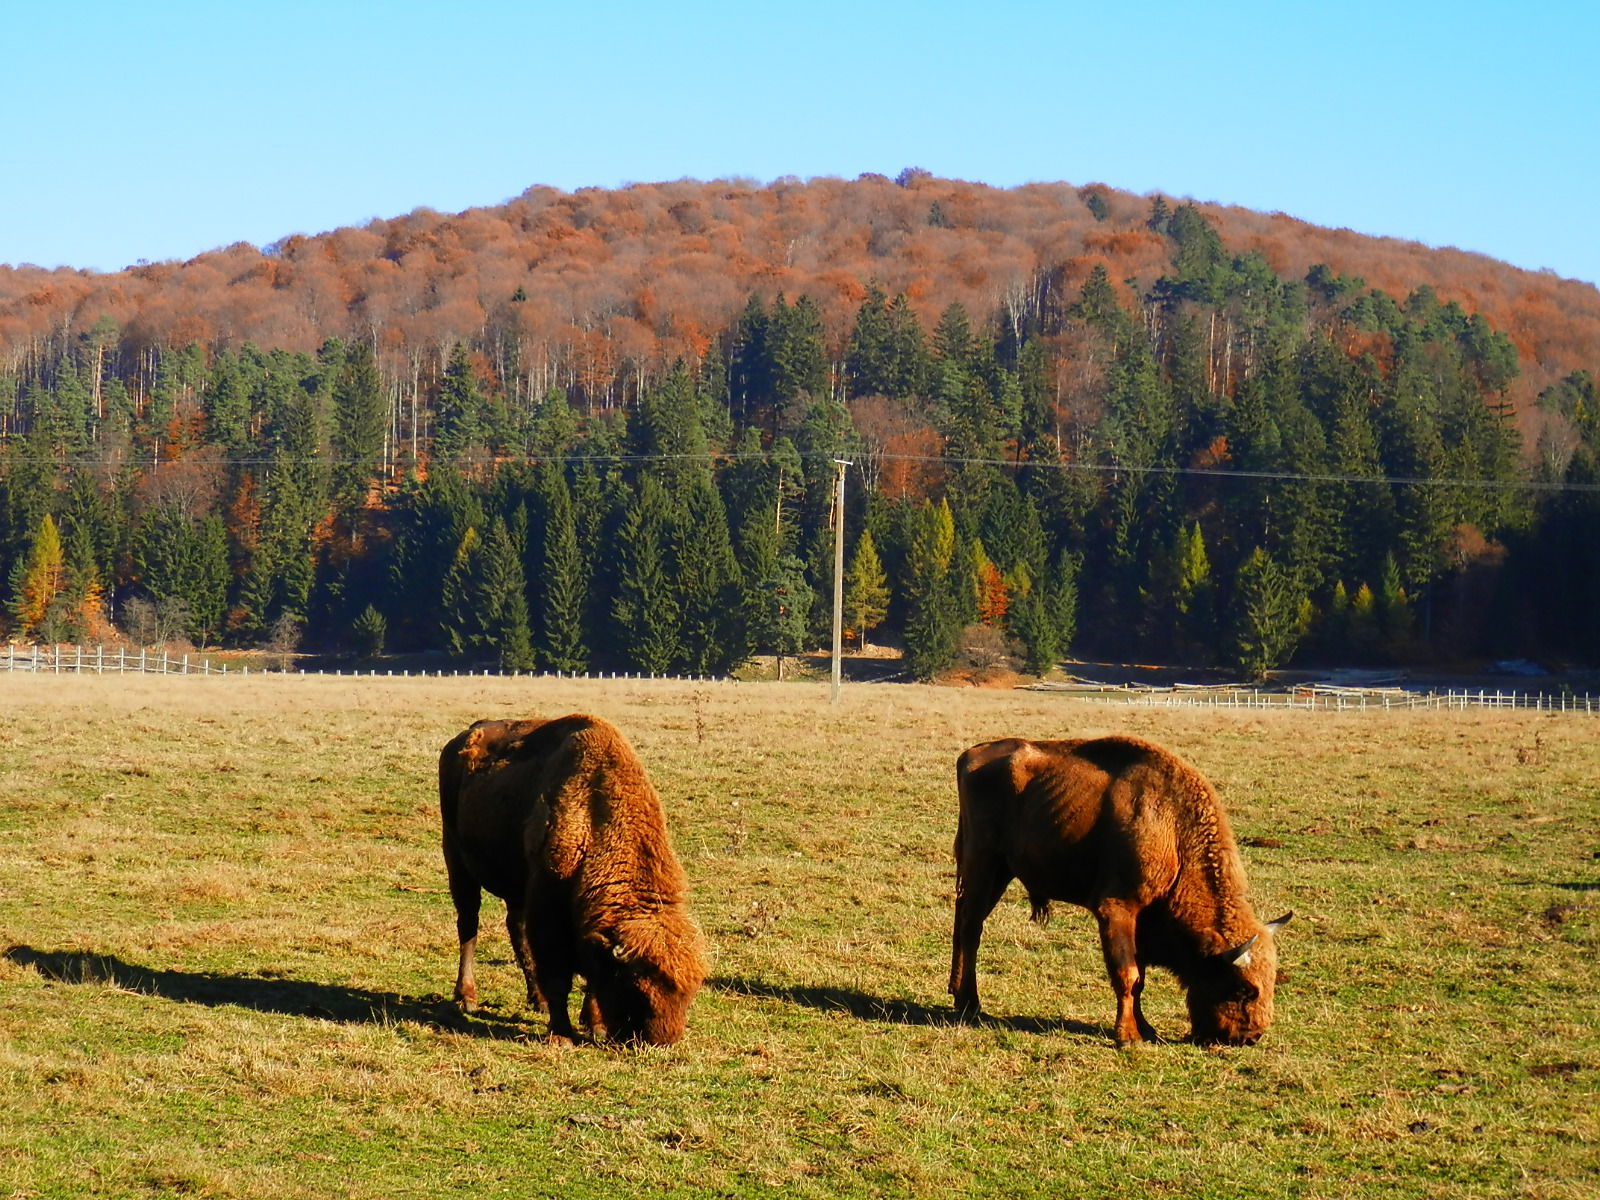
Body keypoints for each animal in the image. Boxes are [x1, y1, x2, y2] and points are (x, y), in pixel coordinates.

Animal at [441, 720, 710, 1049]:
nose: (661, 1040)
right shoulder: (548, 913)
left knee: (515, 929)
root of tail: (462, 738)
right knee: (469, 925)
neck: (595, 819)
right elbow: (558, 977)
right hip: (457, 862)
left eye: (688, 994)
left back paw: (538, 1000)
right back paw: (467, 997)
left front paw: (595, 1025)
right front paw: (561, 1035)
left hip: (516, 892)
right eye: (636, 988)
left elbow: (589, 982)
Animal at [940, 732, 1292, 1043]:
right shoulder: (1116, 909)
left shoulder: (1141, 922)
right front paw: (1128, 1036)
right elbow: (1128, 975)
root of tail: (971, 754)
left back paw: (958, 994)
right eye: (1244, 988)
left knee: (966, 919)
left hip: (999, 872)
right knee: (971, 926)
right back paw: (970, 1003)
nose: (1249, 1037)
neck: (1173, 830)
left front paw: (1146, 1029)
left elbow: (1140, 977)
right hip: (984, 863)